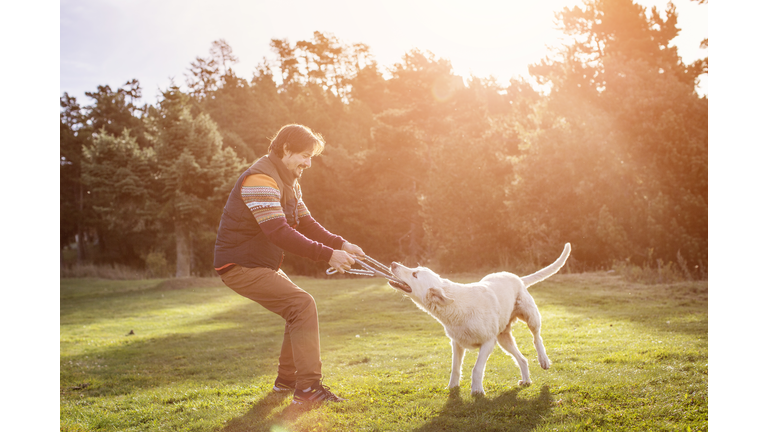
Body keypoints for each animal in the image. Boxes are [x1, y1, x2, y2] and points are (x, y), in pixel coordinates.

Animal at [390, 243, 568, 394]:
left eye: (414, 274)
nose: (392, 264)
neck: (455, 306)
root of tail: (517, 277)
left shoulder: (488, 343)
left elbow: (476, 369)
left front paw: (476, 390)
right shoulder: (457, 344)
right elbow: (455, 368)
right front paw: (452, 387)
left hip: (530, 317)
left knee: (537, 338)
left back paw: (544, 360)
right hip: (503, 339)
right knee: (522, 359)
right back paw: (526, 380)